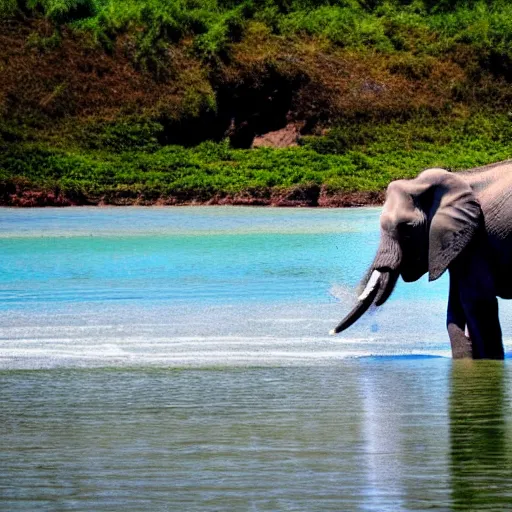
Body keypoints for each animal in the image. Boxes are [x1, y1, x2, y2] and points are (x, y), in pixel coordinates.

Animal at [330, 160, 512, 360]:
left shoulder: (478, 238)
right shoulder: (459, 242)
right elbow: (455, 307)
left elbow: (477, 301)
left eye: (406, 230)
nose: (331, 332)